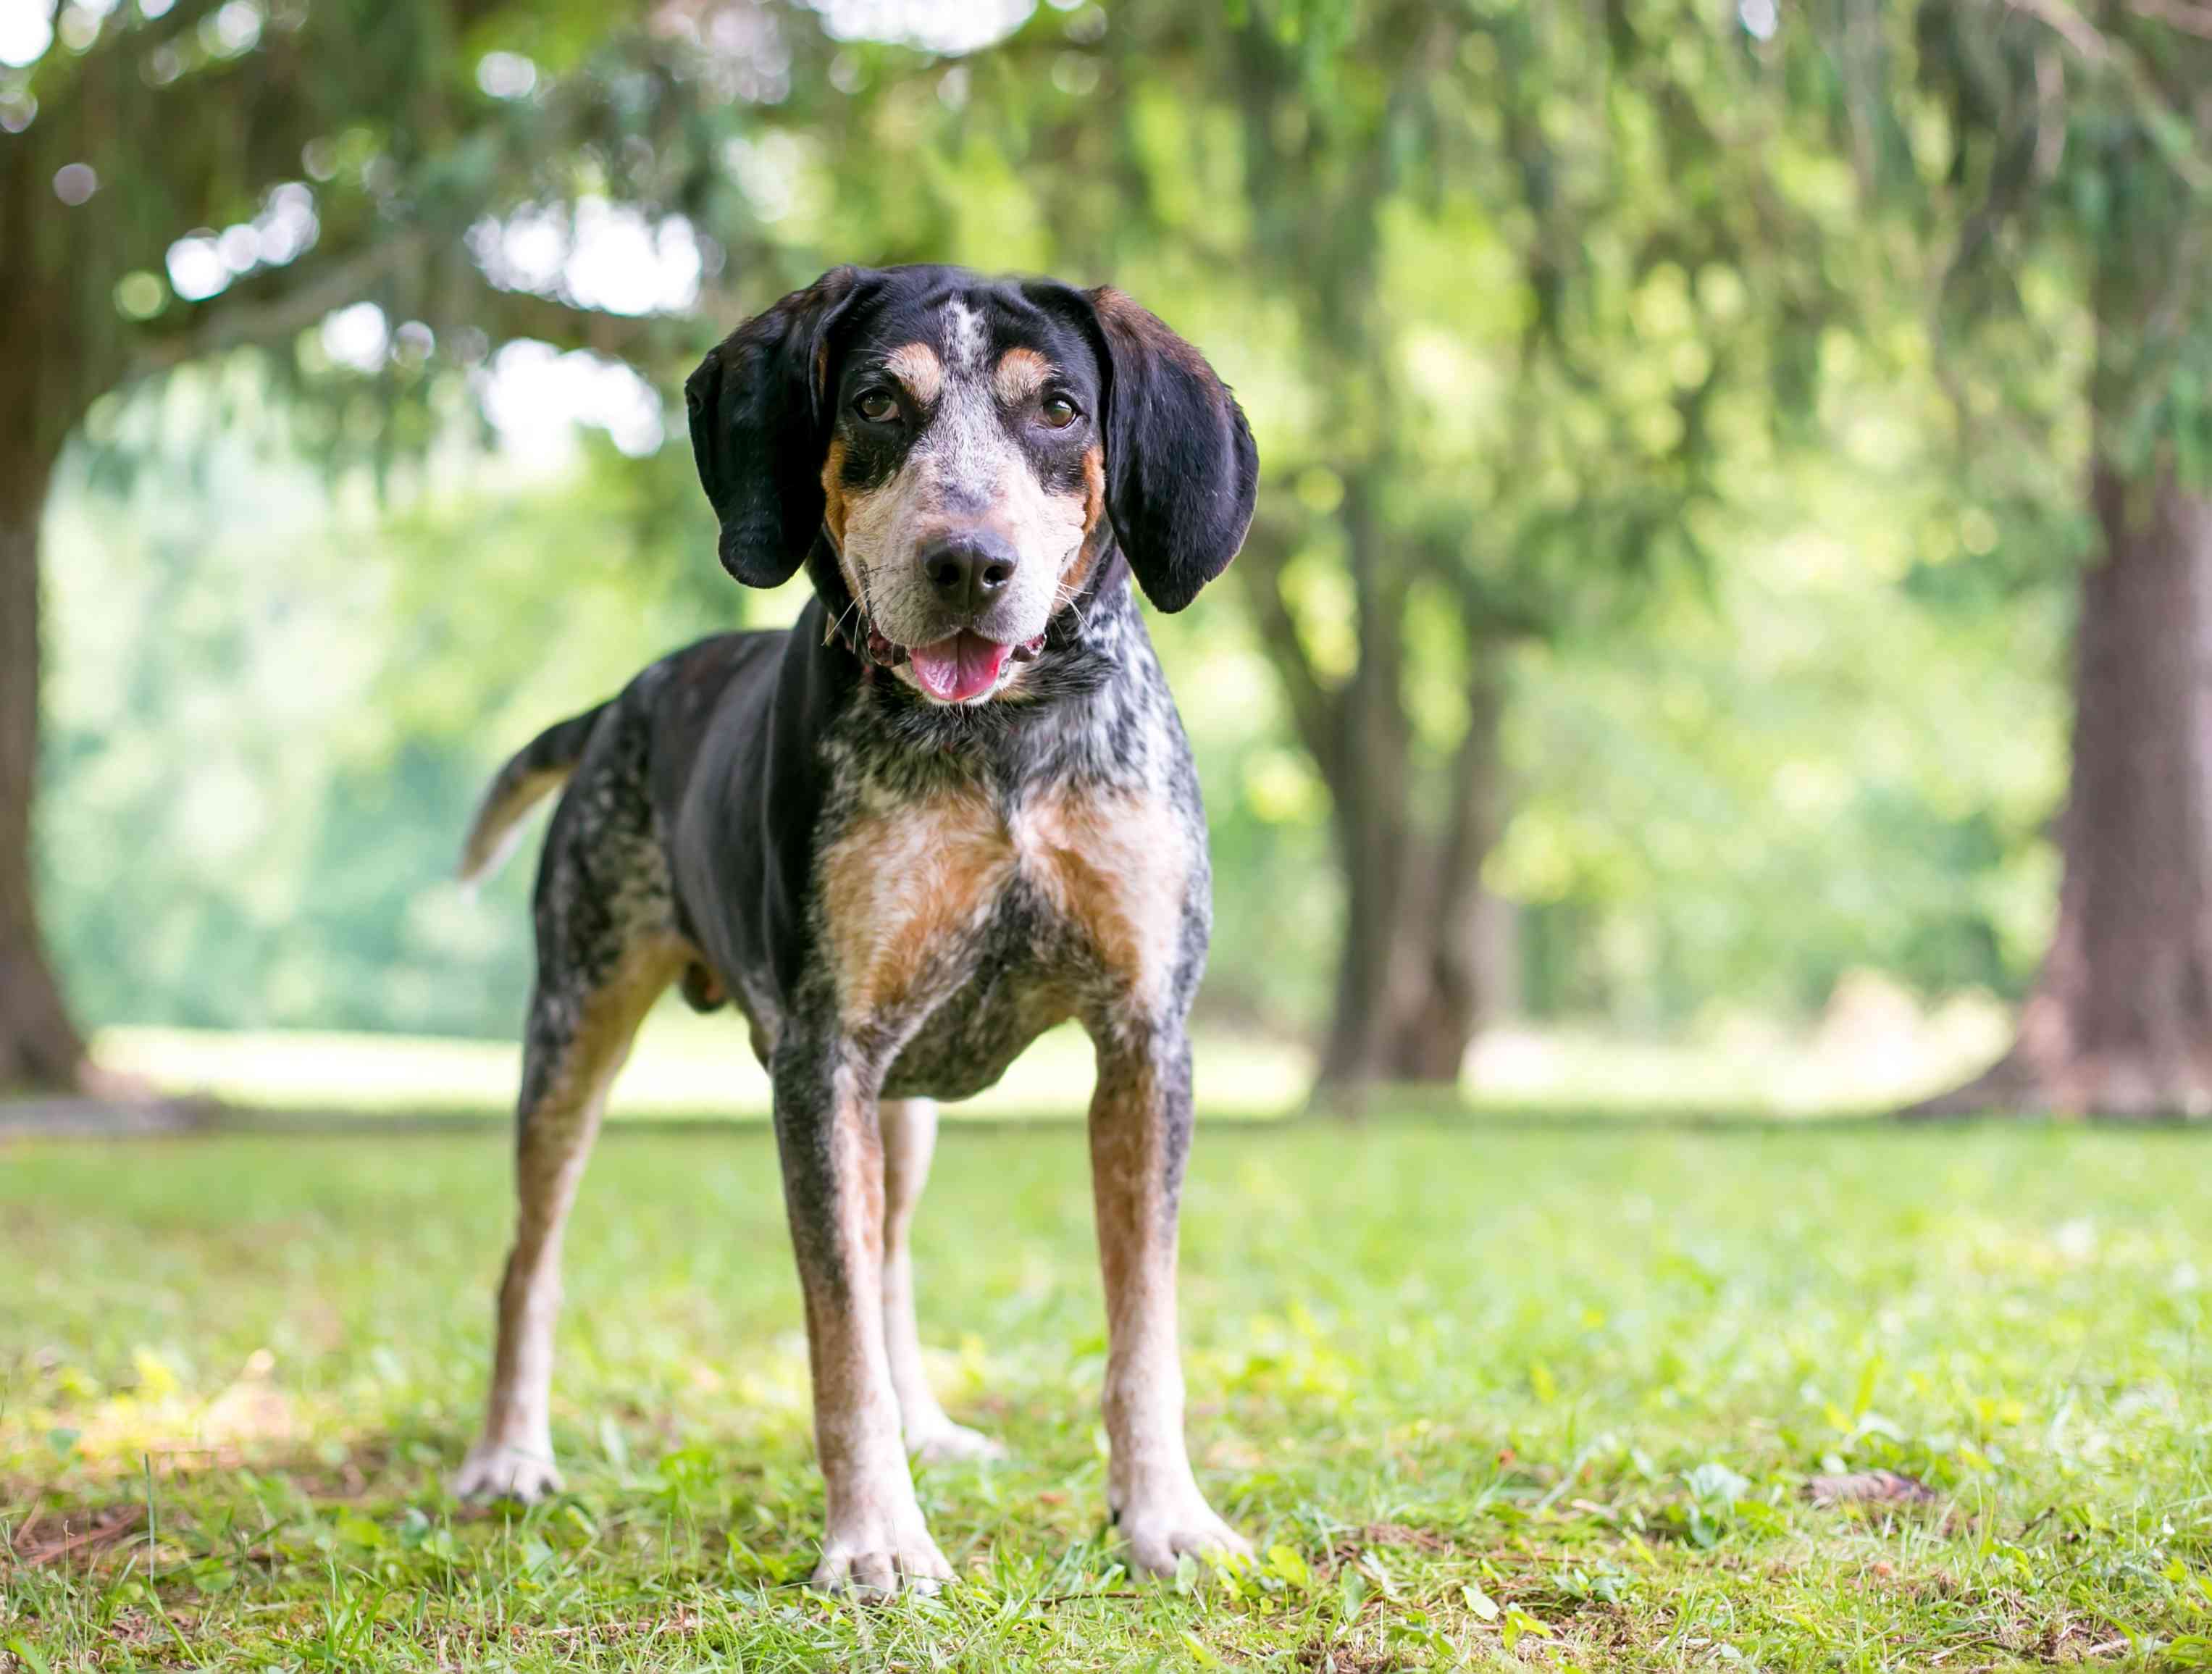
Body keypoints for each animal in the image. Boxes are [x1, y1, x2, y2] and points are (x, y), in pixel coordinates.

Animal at [448, 261, 1265, 1592]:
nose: (969, 561)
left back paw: (930, 1424)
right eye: (879, 401)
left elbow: (1142, 1331)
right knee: (531, 1258)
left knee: (889, 1264)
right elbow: (836, 1347)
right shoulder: (820, 1057)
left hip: (904, 1109)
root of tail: (623, 697)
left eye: (1058, 409)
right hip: (576, 1030)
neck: (1000, 740)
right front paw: (876, 1536)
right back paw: (507, 1455)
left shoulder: (1146, 1043)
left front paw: (1165, 1517)